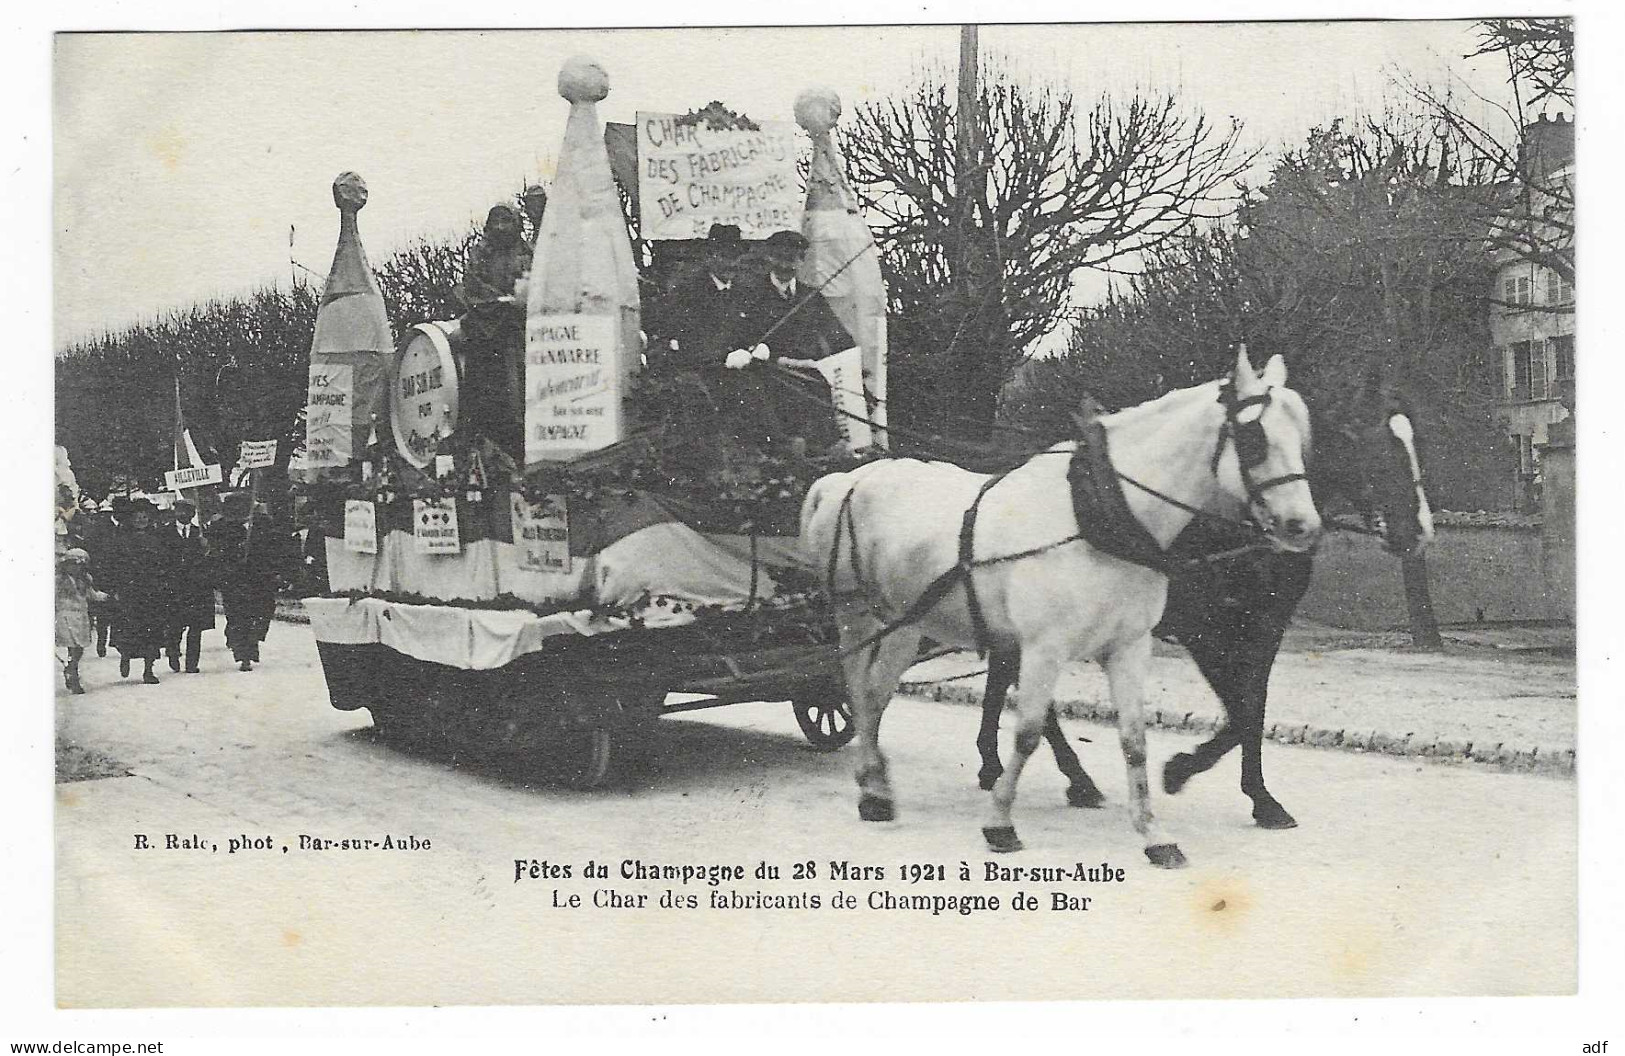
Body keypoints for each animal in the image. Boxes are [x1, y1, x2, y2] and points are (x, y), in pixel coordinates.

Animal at [799, 349, 1319, 870]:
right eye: (1254, 439)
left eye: (1303, 439)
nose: (1303, 527)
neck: (1095, 518)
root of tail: (848, 477)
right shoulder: (1047, 647)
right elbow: (1028, 732)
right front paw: (1000, 824)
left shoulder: (1131, 647)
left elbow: (1137, 740)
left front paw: (1155, 833)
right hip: (856, 614)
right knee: (857, 690)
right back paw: (873, 790)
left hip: (906, 623)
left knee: (876, 694)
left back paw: (878, 787)